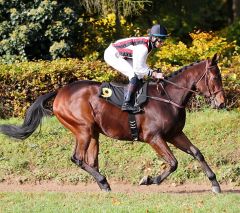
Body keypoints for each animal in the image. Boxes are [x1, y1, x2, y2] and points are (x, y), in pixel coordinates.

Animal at [0, 53, 225, 193]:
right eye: (215, 77)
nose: (222, 103)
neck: (168, 97)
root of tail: (60, 91)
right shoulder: (154, 138)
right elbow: (173, 163)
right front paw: (149, 180)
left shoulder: (174, 134)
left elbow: (196, 153)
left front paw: (215, 184)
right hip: (83, 129)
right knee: (77, 158)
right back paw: (103, 182)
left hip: (93, 133)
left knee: (91, 161)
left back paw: (104, 185)